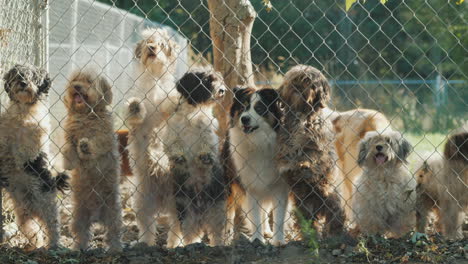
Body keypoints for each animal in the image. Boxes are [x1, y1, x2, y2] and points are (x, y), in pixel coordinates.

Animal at [0, 64, 68, 250]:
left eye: (33, 77)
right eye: (17, 75)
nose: (23, 83)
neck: (24, 112)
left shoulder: (35, 138)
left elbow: (28, 149)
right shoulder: (5, 132)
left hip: (46, 205)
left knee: (52, 226)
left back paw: (53, 245)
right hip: (24, 217)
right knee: (34, 232)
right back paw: (32, 247)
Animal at [62, 68, 122, 252]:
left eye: (88, 81)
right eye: (75, 79)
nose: (77, 86)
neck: (87, 114)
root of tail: (96, 215)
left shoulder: (105, 136)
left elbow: (98, 141)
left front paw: (85, 146)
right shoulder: (69, 134)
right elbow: (68, 146)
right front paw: (69, 161)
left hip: (113, 213)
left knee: (113, 232)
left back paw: (115, 248)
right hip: (78, 216)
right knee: (81, 232)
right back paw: (78, 248)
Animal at [228, 87, 288, 245]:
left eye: (260, 108)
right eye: (242, 107)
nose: (244, 119)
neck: (258, 142)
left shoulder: (280, 187)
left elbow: (279, 218)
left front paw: (278, 241)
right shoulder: (251, 186)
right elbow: (255, 216)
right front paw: (257, 239)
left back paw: (267, 231)